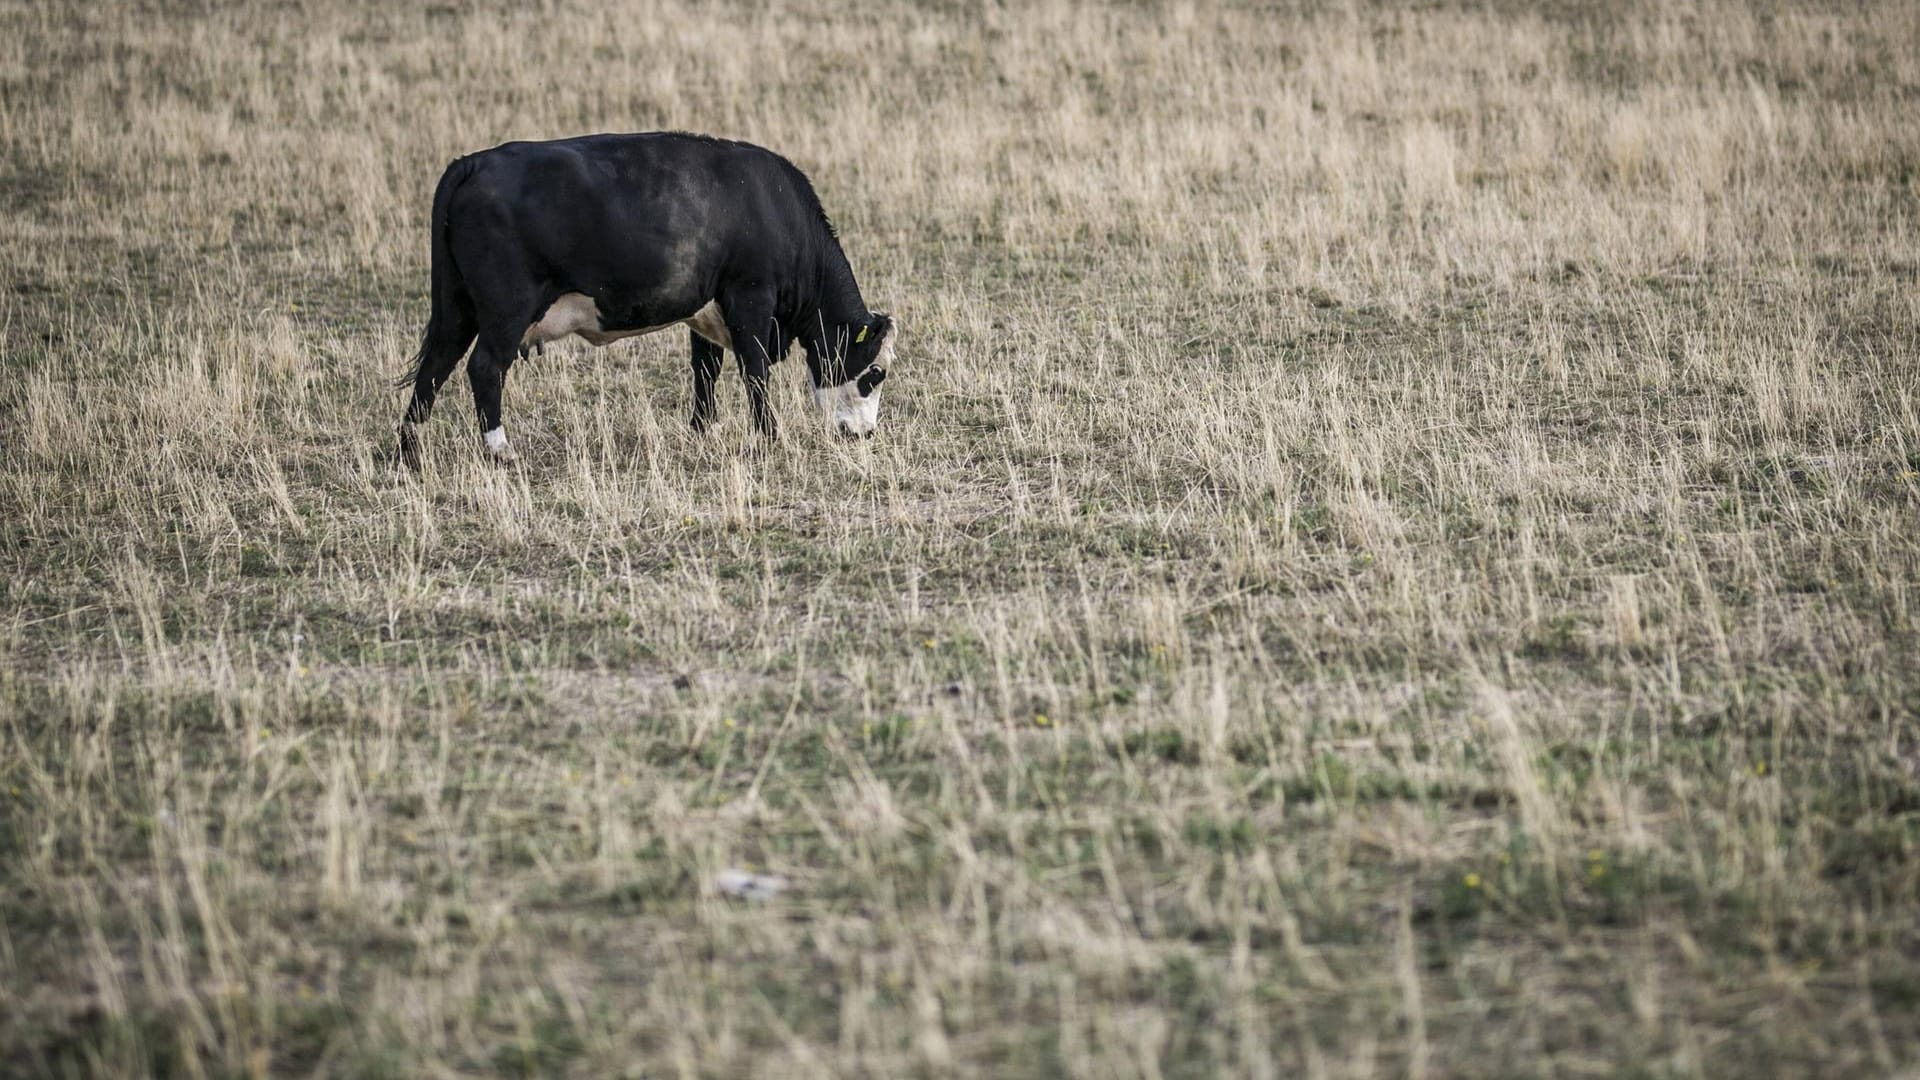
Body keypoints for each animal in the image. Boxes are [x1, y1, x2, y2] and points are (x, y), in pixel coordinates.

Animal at [401, 127, 894, 465]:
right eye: (875, 373)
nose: (865, 433)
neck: (771, 204)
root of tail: (474, 162)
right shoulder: (750, 297)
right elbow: (754, 371)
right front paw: (769, 436)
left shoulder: (707, 309)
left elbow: (705, 371)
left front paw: (703, 430)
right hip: (506, 311)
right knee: (483, 368)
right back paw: (500, 450)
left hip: (457, 310)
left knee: (434, 367)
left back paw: (411, 449)